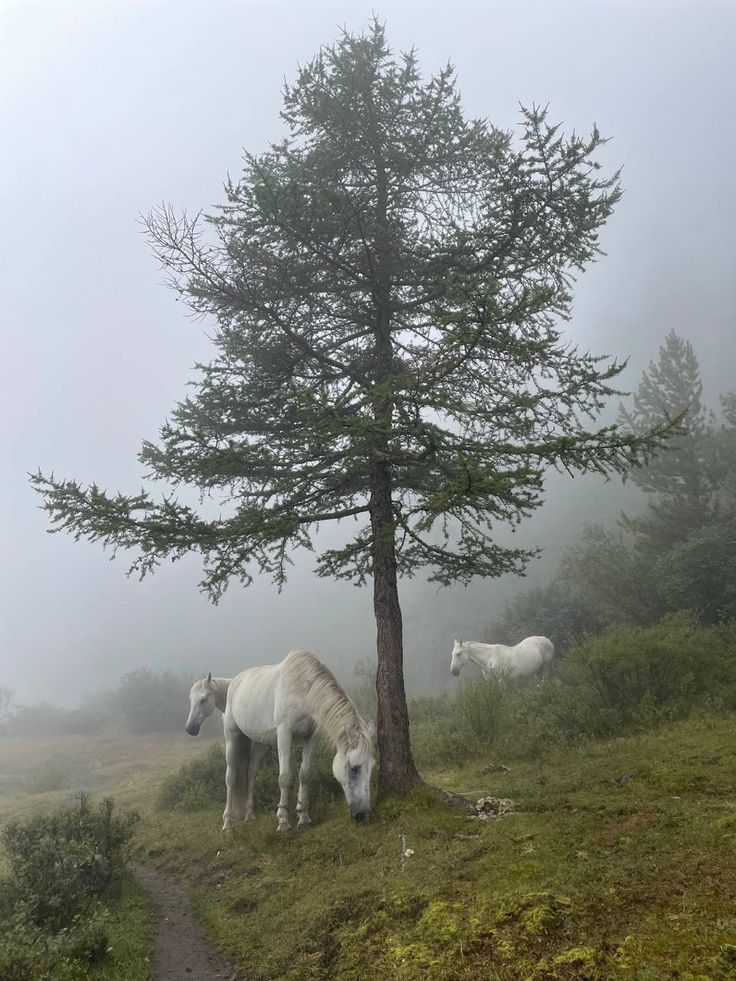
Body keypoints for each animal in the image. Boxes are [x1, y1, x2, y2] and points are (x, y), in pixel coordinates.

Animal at [184, 648, 374, 832]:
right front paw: (283, 821)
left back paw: (249, 814)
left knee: (250, 774)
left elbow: (304, 774)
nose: (362, 815)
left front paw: (303, 816)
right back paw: (228, 822)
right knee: (231, 777)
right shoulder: (284, 734)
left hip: (259, 744)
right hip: (232, 737)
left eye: (371, 767)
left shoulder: (311, 737)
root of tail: (234, 683)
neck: (301, 689)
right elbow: (284, 777)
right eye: (354, 768)